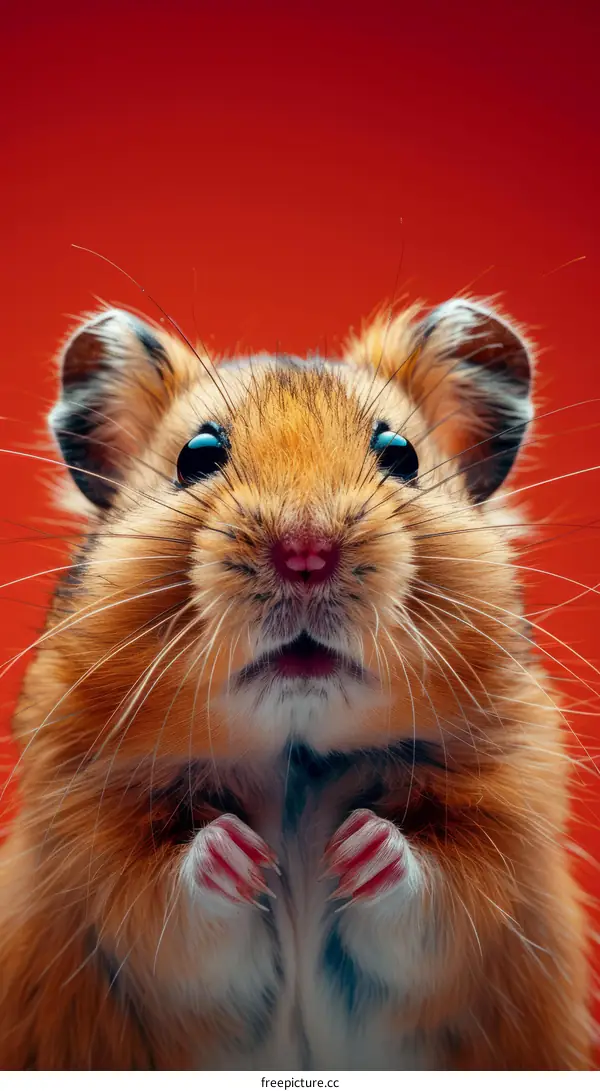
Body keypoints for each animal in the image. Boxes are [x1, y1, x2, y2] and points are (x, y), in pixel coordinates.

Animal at [0, 298, 592, 1069]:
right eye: (197, 456)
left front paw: (358, 846)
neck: (295, 754)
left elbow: (428, 896)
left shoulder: (492, 867)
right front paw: (241, 855)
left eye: (400, 454)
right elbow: (176, 905)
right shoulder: (102, 867)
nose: (306, 553)